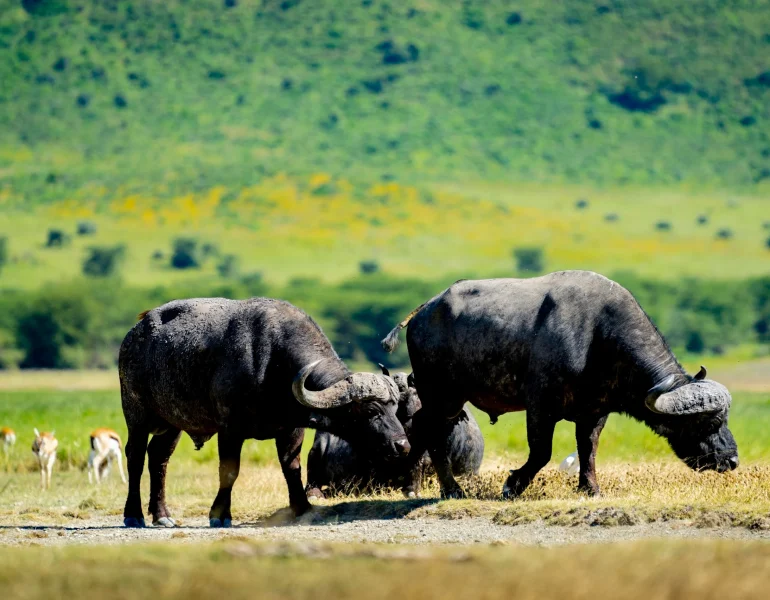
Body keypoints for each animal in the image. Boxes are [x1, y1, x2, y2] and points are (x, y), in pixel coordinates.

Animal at [119, 297, 409, 527]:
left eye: (394, 407)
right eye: (371, 409)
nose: (402, 446)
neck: (273, 362)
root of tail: (135, 335)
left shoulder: (292, 430)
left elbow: (292, 467)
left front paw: (301, 507)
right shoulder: (230, 430)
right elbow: (229, 471)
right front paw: (220, 514)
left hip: (172, 424)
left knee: (159, 459)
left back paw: (161, 515)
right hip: (136, 414)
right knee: (135, 458)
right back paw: (134, 515)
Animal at [382, 271, 738, 499]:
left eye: (724, 419)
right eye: (707, 422)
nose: (731, 460)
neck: (599, 337)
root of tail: (424, 311)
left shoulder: (594, 411)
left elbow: (588, 449)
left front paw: (590, 488)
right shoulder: (540, 406)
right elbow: (541, 452)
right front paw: (513, 485)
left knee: (425, 428)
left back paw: (414, 484)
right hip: (441, 394)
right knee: (431, 431)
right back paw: (449, 488)